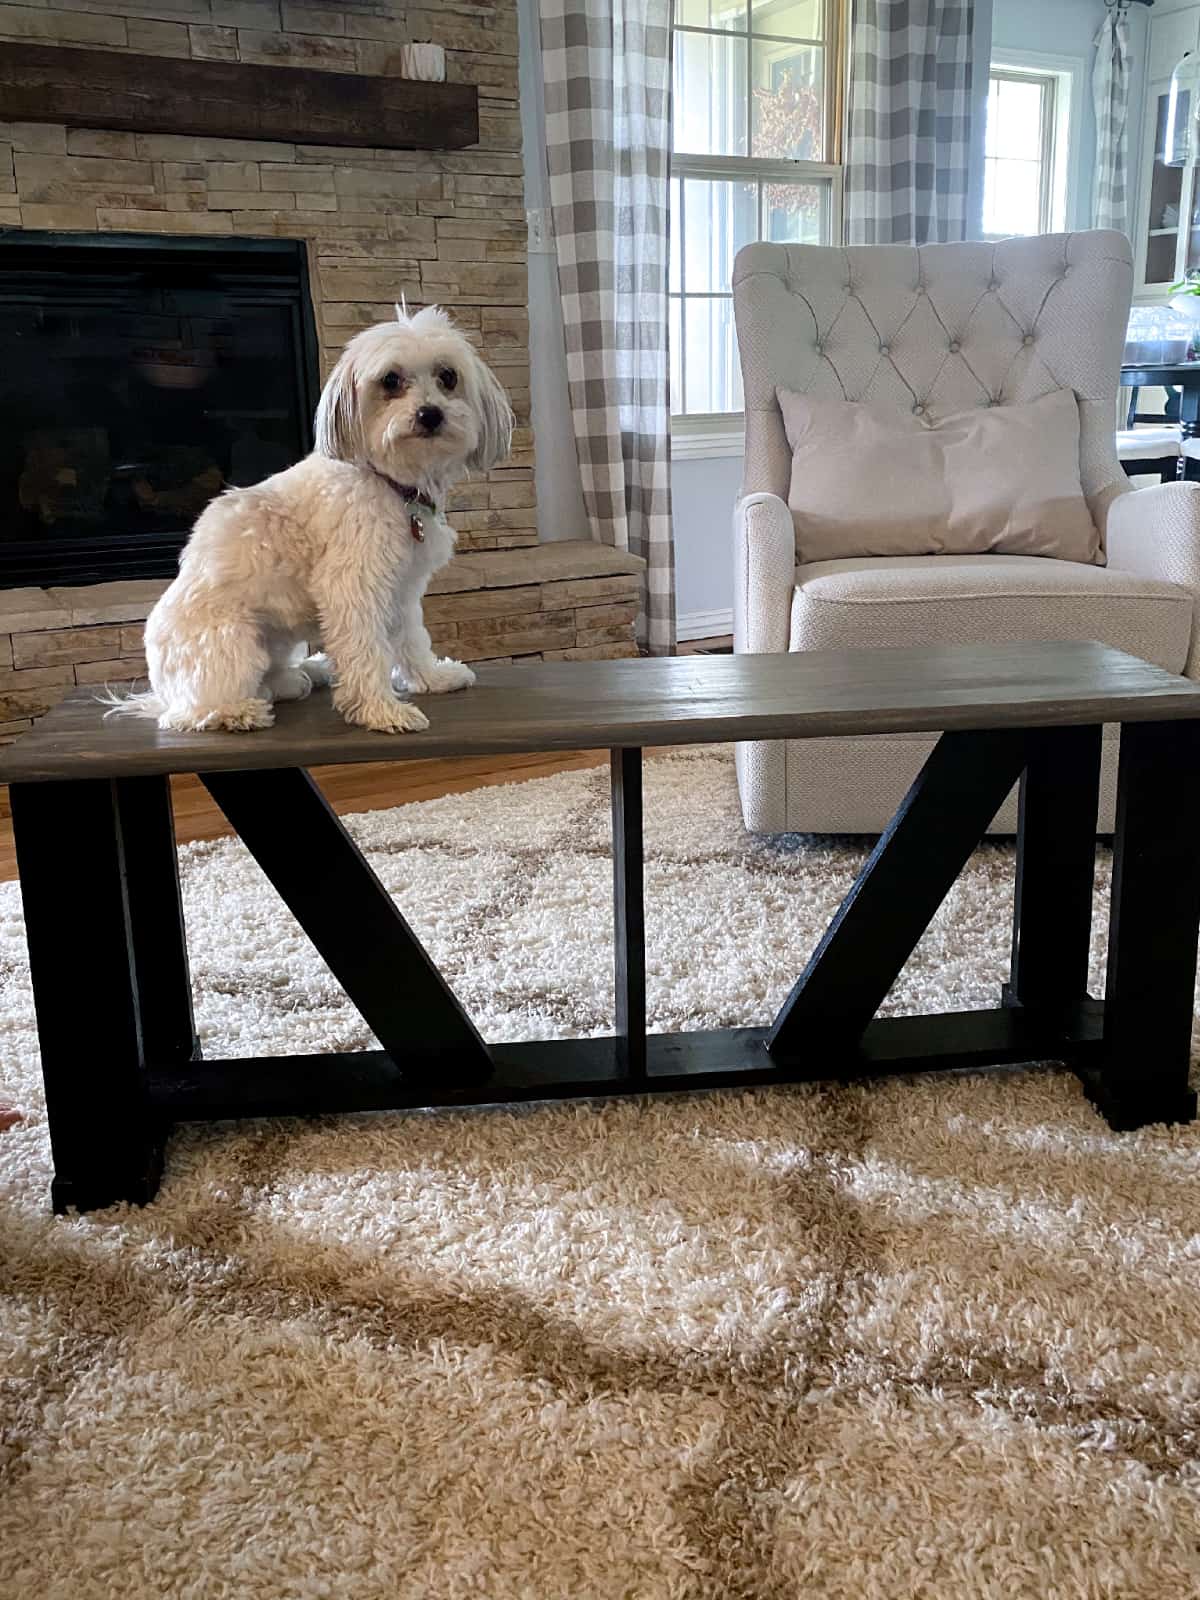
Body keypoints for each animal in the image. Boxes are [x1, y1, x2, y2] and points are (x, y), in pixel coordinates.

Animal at [108, 305, 512, 736]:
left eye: (448, 376)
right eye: (390, 380)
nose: (430, 414)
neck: (390, 482)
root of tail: (159, 693)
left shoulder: (401, 589)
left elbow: (412, 639)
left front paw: (433, 678)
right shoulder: (354, 584)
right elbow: (366, 651)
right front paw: (381, 710)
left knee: (271, 680)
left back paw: (307, 673)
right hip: (232, 642)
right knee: (191, 712)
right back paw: (240, 711)